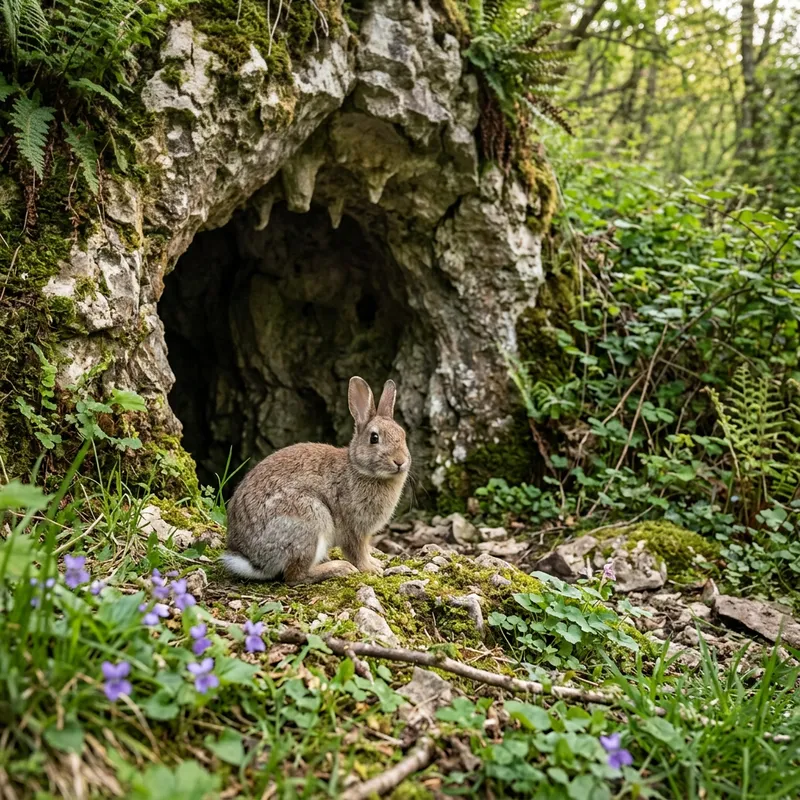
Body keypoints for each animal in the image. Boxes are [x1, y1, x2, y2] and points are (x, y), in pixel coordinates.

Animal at [220, 376, 411, 585]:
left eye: (403, 435)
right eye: (374, 438)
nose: (400, 461)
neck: (359, 469)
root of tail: (252, 560)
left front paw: (376, 563)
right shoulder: (353, 528)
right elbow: (356, 552)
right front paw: (370, 569)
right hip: (310, 520)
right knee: (295, 576)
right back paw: (339, 568)